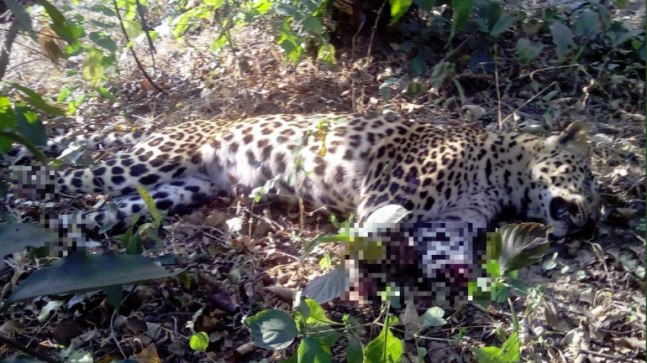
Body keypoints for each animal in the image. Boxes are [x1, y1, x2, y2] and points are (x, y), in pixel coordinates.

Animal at [6, 112, 604, 302]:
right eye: (588, 178)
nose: (591, 224)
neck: (499, 178)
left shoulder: (449, 229)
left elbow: (445, 257)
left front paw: (466, 282)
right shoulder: (381, 204)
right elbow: (369, 245)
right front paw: (365, 292)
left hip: (173, 191)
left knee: (86, 213)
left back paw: (74, 247)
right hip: (140, 164)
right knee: (50, 177)